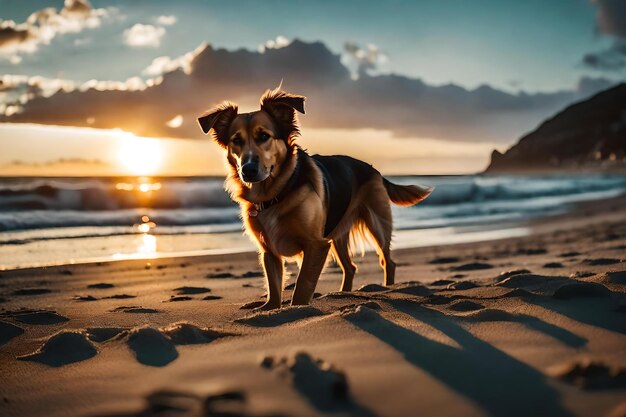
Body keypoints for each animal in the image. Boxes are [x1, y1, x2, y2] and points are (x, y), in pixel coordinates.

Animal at [197, 88, 432, 308]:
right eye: (236, 140)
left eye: (263, 136)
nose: (248, 170)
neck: (277, 193)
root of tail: (373, 169)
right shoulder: (269, 251)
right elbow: (274, 288)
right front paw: (270, 309)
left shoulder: (316, 245)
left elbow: (302, 287)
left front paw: (296, 309)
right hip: (337, 233)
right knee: (350, 267)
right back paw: (343, 294)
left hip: (377, 223)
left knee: (387, 261)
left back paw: (388, 289)